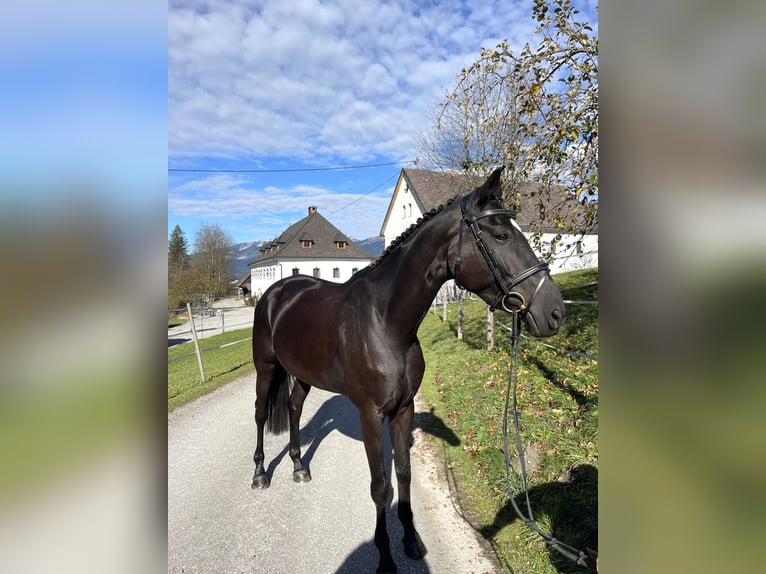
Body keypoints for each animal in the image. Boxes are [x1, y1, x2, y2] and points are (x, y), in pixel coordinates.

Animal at [252, 168, 564, 574]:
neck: (385, 322)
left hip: (303, 374)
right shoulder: (370, 415)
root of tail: (277, 289)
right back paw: (260, 475)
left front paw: (412, 541)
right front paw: (385, 557)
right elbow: (380, 486)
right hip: (265, 369)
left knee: (292, 408)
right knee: (261, 415)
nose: (554, 311)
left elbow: (404, 474)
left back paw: (299, 467)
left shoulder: (404, 409)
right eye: (501, 235)